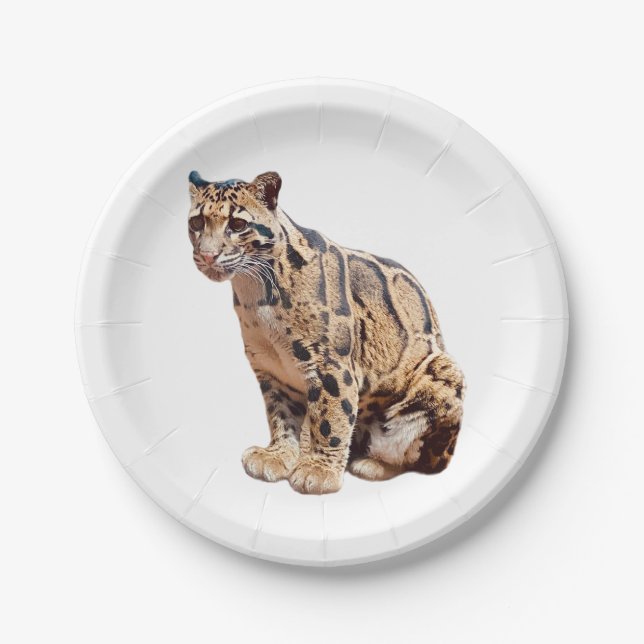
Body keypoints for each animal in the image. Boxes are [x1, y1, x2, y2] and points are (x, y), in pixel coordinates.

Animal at [187, 170, 465, 495]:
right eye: (196, 223)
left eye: (237, 224)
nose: (207, 255)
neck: (254, 293)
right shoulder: (271, 370)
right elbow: (281, 415)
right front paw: (279, 455)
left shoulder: (330, 364)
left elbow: (331, 418)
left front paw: (318, 471)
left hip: (444, 372)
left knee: (425, 460)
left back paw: (373, 464)